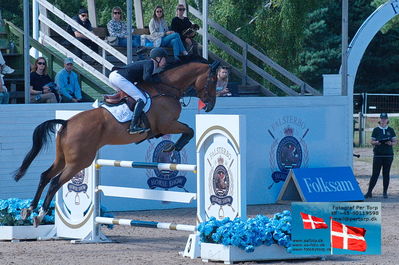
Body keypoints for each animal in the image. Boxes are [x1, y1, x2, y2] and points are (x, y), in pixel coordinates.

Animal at [13, 57, 219, 225]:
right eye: (214, 80)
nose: (210, 106)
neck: (166, 89)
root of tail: (67, 123)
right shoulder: (168, 124)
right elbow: (189, 130)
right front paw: (173, 148)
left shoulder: (166, 126)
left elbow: (187, 130)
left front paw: (171, 148)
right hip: (79, 161)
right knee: (55, 182)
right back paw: (39, 214)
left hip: (63, 158)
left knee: (45, 176)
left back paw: (29, 210)